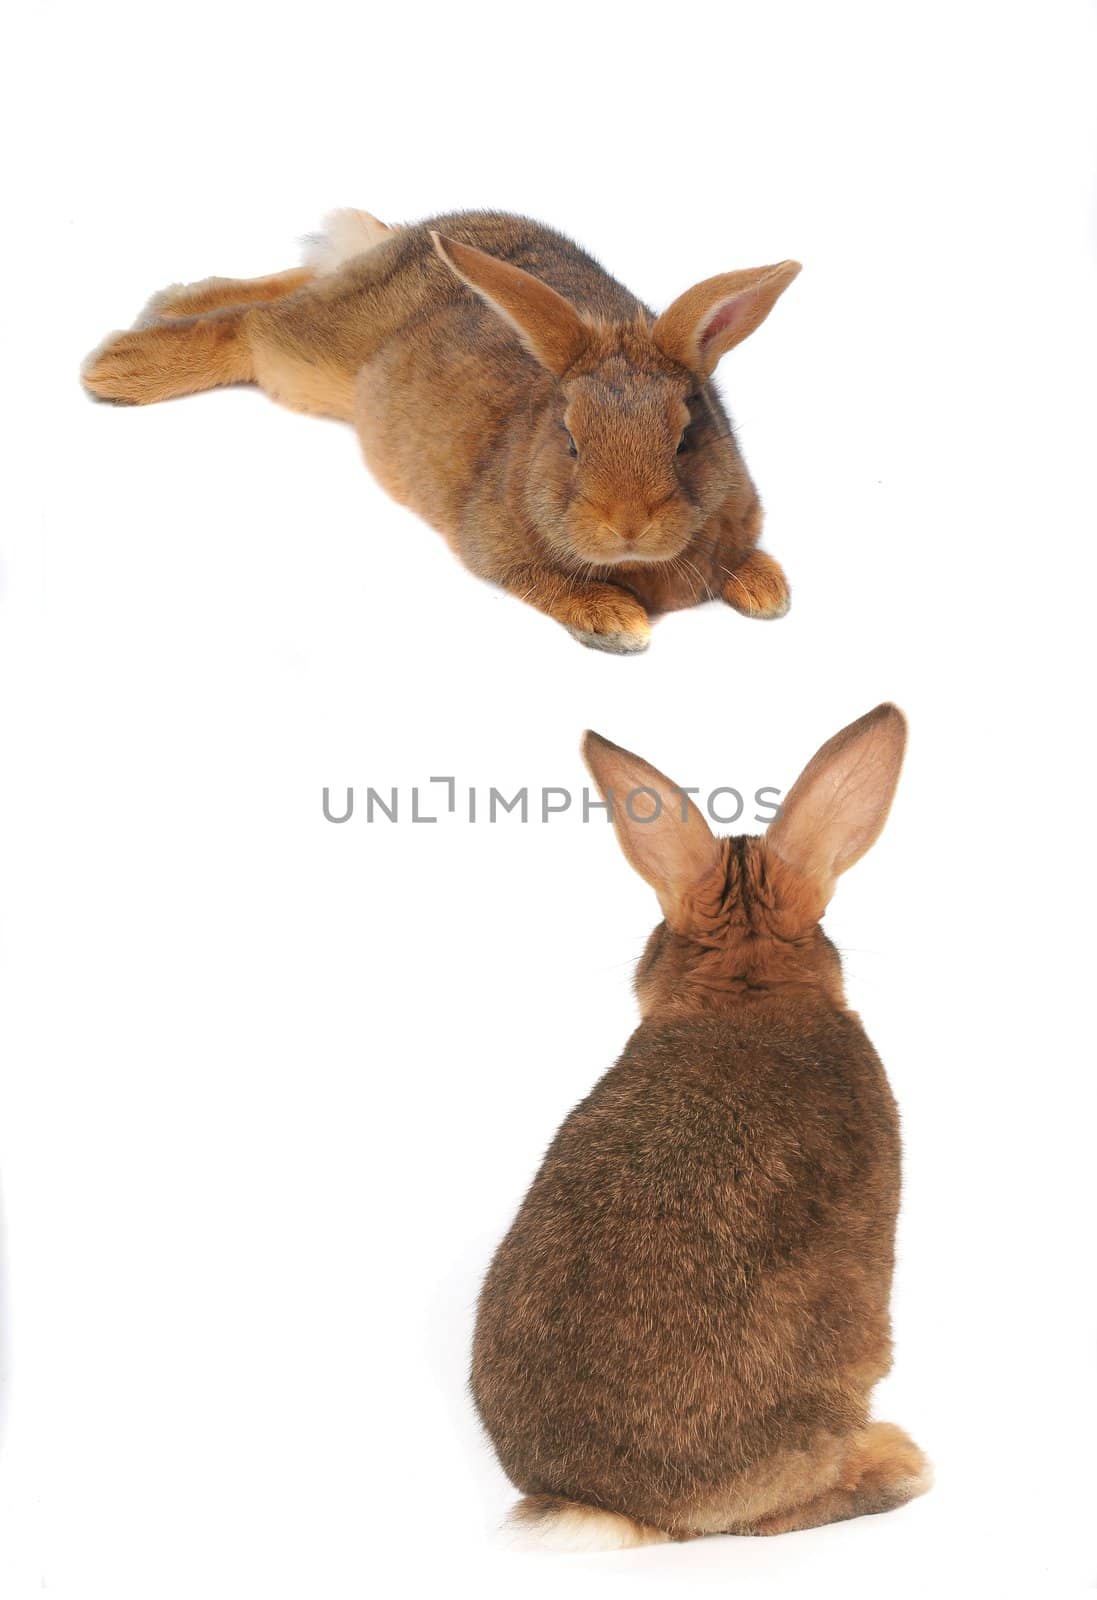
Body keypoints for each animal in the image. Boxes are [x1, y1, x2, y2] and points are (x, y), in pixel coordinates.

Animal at [79, 211, 799, 649]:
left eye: (685, 437)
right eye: (570, 440)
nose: (628, 524)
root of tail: (405, 236)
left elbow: (745, 557)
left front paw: (769, 591)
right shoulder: (493, 549)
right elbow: (547, 582)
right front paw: (617, 622)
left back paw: (164, 303)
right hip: (310, 356)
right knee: (251, 327)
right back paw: (119, 364)